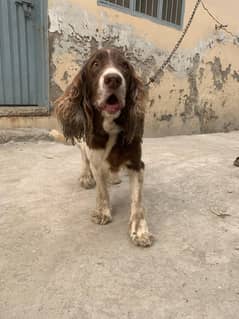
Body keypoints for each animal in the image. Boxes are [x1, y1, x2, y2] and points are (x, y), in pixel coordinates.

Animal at [55, 48, 153, 248]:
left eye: (124, 65)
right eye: (95, 64)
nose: (114, 79)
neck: (110, 127)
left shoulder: (137, 164)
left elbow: (137, 201)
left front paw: (139, 230)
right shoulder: (96, 159)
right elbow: (101, 190)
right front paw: (102, 212)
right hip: (82, 143)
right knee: (83, 159)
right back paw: (86, 177)